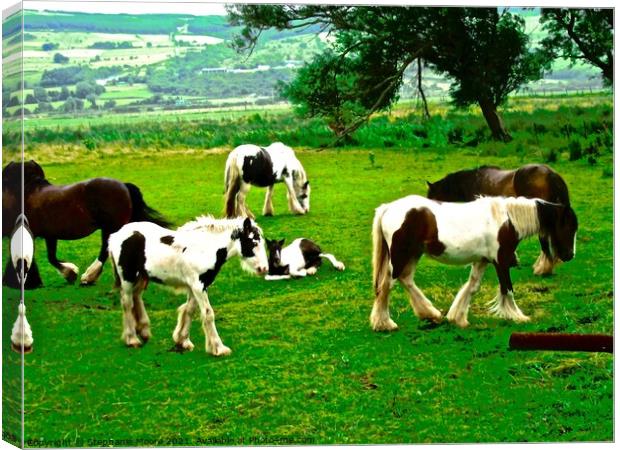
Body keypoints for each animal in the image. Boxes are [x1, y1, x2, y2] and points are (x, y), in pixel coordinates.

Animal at [2, 161, 170, 284]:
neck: (29, 193)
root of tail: (124, 186)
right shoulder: (50, 235)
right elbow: (51, 257)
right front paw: (70, 274)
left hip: (110, 227)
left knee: (106, 250)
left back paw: (89, 276)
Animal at [109, 216, 268, 356]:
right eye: (253, 242)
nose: (264, 269)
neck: (206, 248)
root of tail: (115, 235)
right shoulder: (198, 286)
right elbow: (208, 314)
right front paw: (218, 348)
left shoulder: (195, 286)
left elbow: (190, 310)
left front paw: (183, 340)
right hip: (127, 278)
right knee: (127, 303)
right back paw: (132, 339)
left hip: (142, 276)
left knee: (136, 297)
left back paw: (144, 332)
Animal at [368, 194, 576, 330]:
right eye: (569, 227)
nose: (569, 255)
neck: (507, 220)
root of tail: (388, 208)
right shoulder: (501, 261)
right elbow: (507, 288)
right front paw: (517, 316)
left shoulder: (482, 261)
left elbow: (472, 287)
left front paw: (458, 318)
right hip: (401, 256)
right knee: (387, 285)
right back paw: (385, 323)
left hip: (413, 254)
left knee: (406, 280)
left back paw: (431, 314)